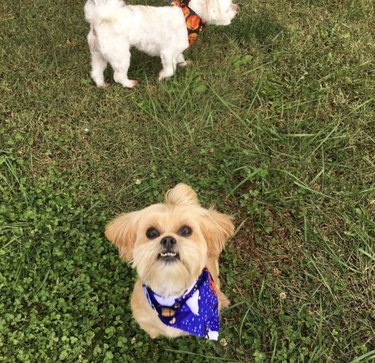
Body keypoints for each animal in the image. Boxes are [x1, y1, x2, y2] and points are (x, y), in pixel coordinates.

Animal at [84, 0, 239, 88]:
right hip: (120, 55)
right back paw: (129, 84)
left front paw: (184, 64)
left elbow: (179, 57)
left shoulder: (177, 49)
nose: (237, 7)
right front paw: (162, 76)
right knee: (118, 76)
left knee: (96, 72)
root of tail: (99, 19)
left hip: (98, 54)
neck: (189, 16)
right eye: (228, 7)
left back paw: (101, 84)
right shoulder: (167, 53)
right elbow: (170, 69)